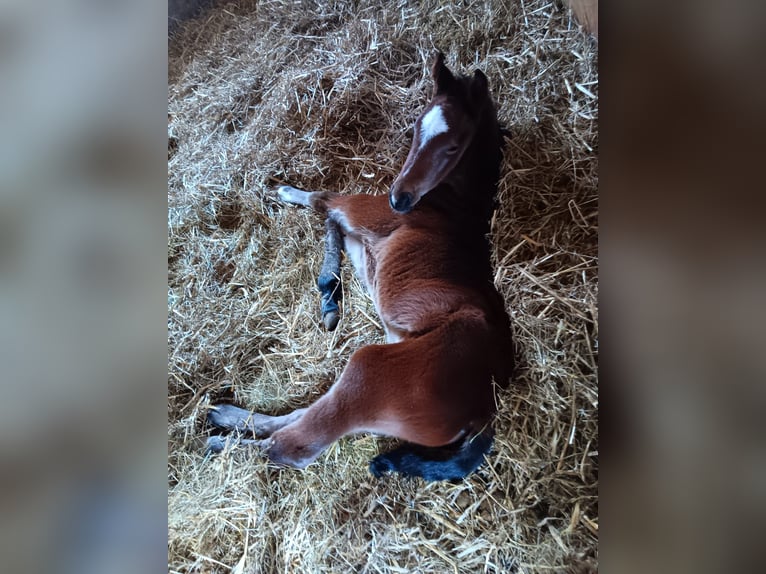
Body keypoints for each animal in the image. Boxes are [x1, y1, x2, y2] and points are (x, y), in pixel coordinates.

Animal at [207, 53, 514, 481]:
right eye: (415, 127)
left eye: (453, 145)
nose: (400, 198)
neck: (453, 203)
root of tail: (483, 409)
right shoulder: (367, 246)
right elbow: (331, 225)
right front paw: (329, 298)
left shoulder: (364, 213)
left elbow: (323, 201)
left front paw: (287, 193)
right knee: (304, 414)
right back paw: (226, 416)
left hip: (367, 371)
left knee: (293, 447)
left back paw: (221, 442)